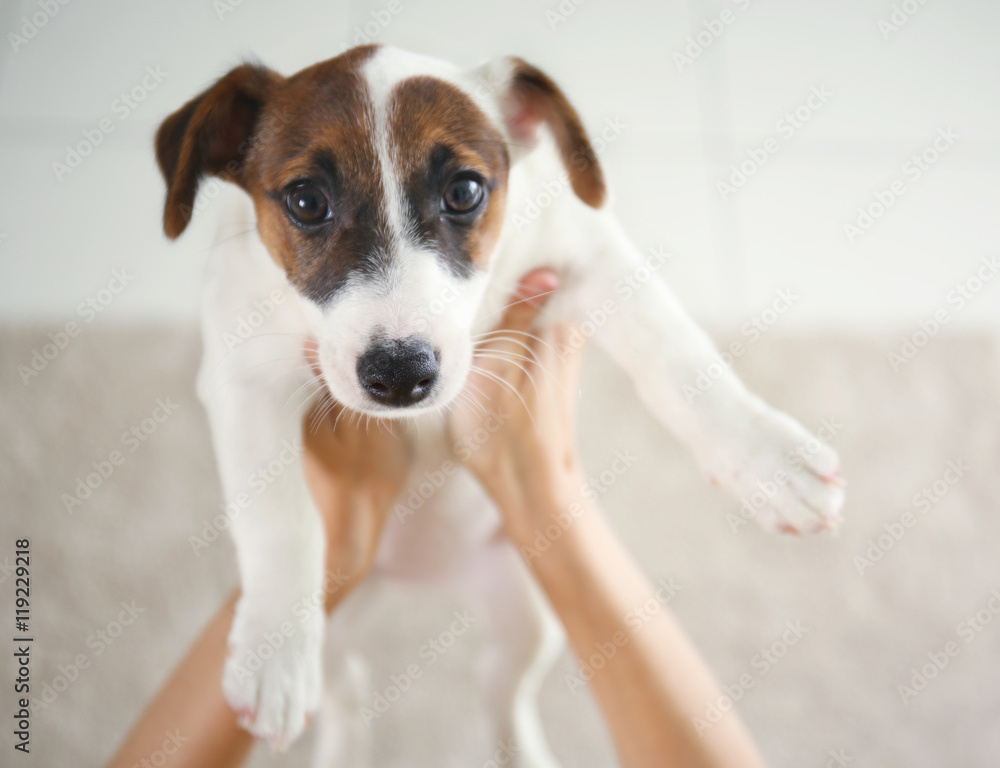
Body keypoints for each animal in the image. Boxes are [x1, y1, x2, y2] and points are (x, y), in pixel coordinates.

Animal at [156, 45, 844, 764]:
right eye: (306, 200)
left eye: (464, 191)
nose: (401, 375)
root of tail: (421, 575)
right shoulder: (240, 373)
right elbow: (277, 517)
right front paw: (273, 655)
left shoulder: (591, 254)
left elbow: (679, 358)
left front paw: (769, 461)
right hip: (344, 621)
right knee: (349, 690)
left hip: (531, 608)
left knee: (499, 685)